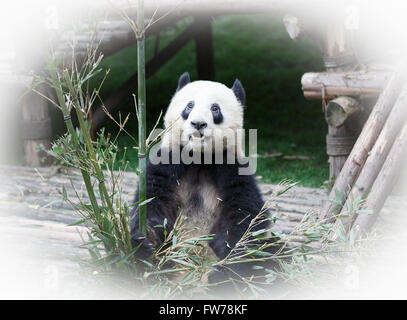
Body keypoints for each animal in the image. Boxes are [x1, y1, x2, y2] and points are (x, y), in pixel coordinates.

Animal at [131, 72, 280, 288]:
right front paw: (148, 238)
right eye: (189, 106)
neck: (199, 158)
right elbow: (153, 200)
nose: (198, 124)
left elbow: (243, 215)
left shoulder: (231, 167)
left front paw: (227, 269)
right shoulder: (168, 161)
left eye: (215, 108)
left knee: (273, 254)